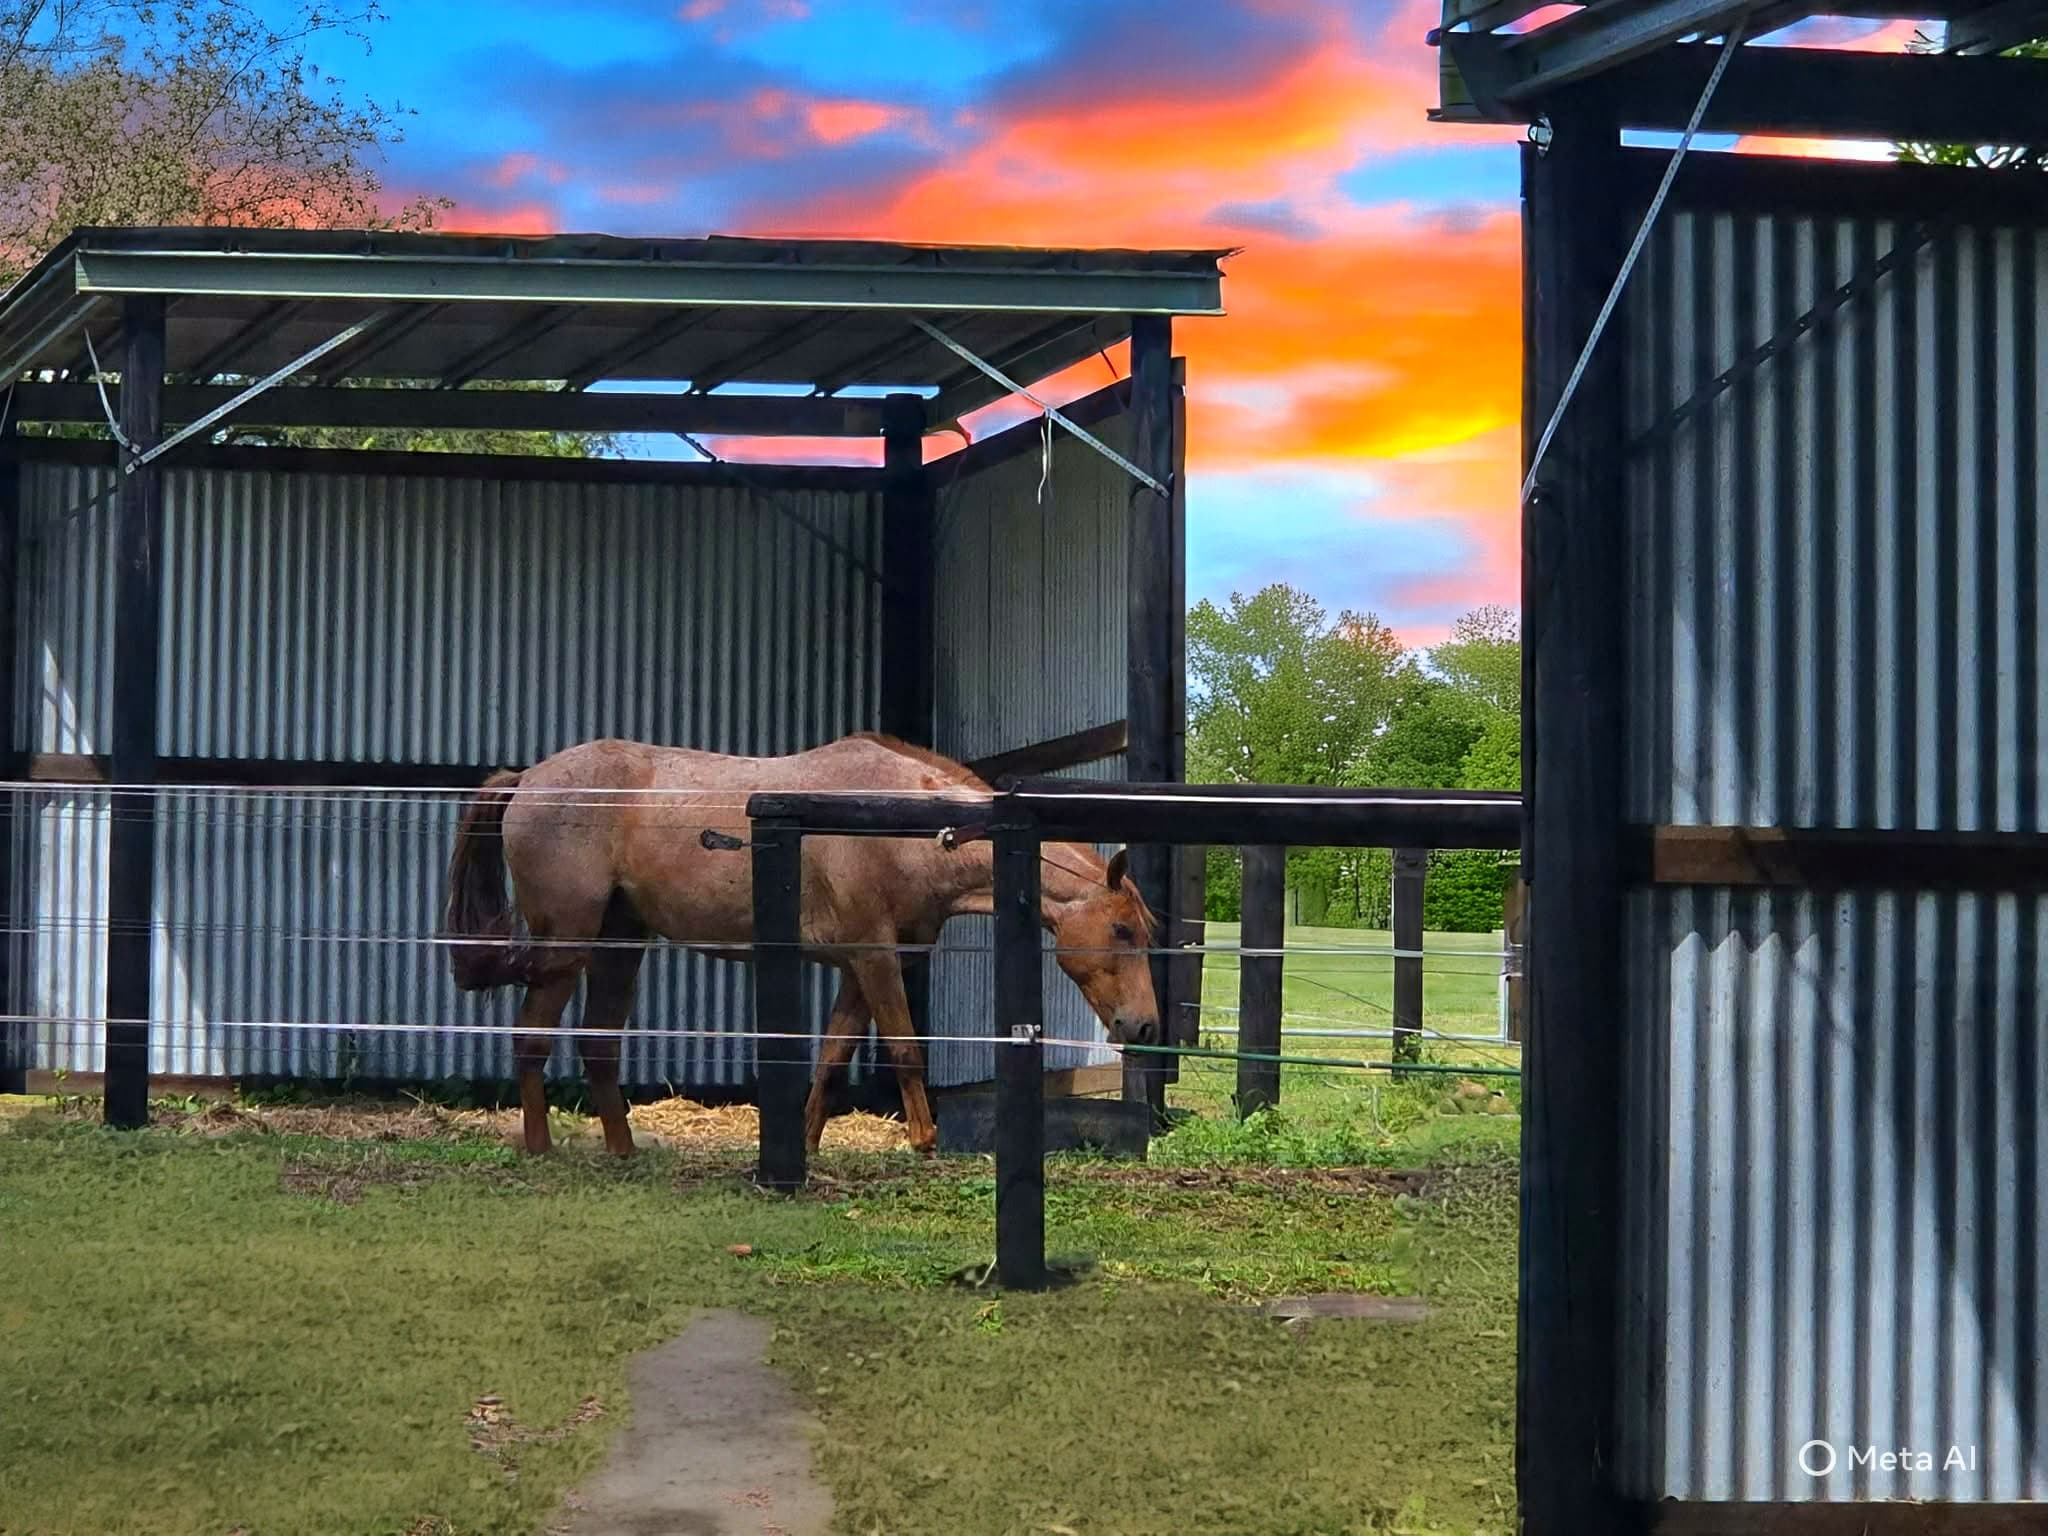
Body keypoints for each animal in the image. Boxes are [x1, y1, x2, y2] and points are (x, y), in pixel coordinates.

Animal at [439, 731, 1161, 1159]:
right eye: (1122, 930)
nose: (1145, 1025)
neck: (899, 823)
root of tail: (529, 779)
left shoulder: (860, 966)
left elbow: (832, 1058)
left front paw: (808, 1145)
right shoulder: (876, 957)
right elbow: (904, 1047)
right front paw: (924, 1142)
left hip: (621, 945)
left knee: (598, 1046)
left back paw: (624, 1152)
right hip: (566, 947)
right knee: (532, 1039)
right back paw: (540, 1148)